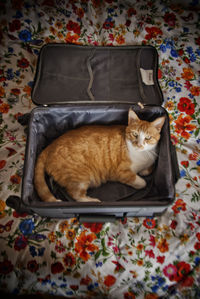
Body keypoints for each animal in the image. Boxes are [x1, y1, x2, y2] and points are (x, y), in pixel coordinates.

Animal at [34, 109, 166, 203]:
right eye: (135, 134)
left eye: (148, 137)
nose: (139, 144)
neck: (141, 155)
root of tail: (49, 146)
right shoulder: (121, 172)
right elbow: (140, 182)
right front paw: (141, 180)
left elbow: (149, 169)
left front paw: (144, 171)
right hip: (81, 177)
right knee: (75, 195)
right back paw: (92, 200)